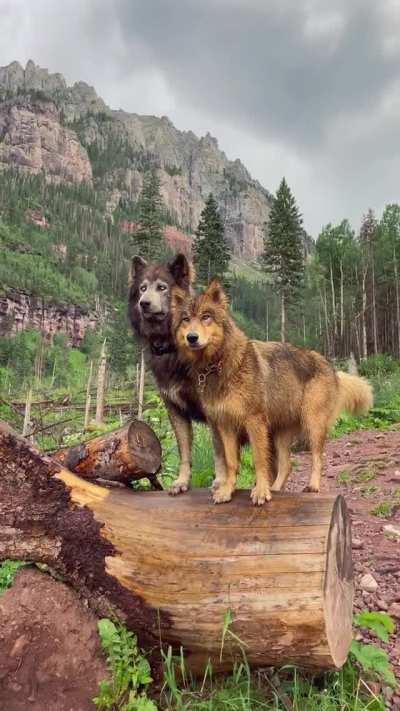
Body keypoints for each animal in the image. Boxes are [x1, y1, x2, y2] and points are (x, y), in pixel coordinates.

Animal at [171, 280, 373, 505]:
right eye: (186, 319)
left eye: (206, 317)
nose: (192, 337)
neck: (216, 365)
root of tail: (331, 367)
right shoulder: (226, 426)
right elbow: (231, 463)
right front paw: (227, 491)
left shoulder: (254, 422)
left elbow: (260, 460)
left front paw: (260, 492)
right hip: (279, 434)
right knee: (287, 465)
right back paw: (275, 489)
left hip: (312, 425)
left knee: (318, 457)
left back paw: (312, 486)